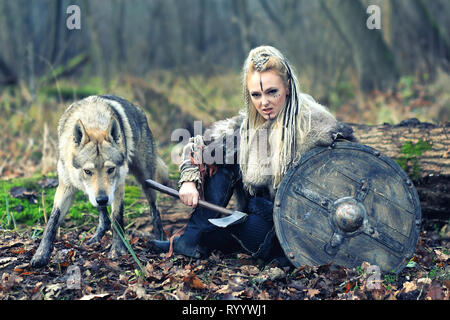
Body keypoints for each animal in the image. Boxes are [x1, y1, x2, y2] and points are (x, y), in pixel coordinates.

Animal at [29, 95, 168, 268]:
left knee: (154, 210)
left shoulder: (118, 187)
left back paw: (161, 240)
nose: (102, 198)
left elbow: (117, 218)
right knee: (104, 218)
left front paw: (118, 250)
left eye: (111, 169)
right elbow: (52, 221)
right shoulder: (66, 188)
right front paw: (41, 254)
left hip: (145, 179)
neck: (92, 120)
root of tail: (139, 110)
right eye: (88, 171)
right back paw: (95, 238)